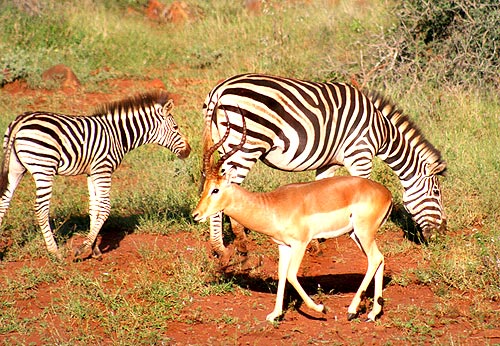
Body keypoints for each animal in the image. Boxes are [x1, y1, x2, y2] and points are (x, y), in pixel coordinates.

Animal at [0, 90, 191, 260]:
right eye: (176, 127)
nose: (188, 151)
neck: (118, 135)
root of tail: (21, 120)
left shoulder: (92, 173)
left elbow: (94, 208)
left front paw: (94, 249)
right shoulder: (103, 169)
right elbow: (105, 207)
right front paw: (83, 247)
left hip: (16, 168)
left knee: (4, 201)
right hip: (44, 167)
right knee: (41, 208)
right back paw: (55, 252)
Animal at [201, 73, 448, 262]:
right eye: (437, 193)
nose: (442, 233)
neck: (382, 132)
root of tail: (219, 90)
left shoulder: (328, 163)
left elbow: (320, 195)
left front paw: (316, 242)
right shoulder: (360, 156)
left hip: (222, 145)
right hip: (246, 145)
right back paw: (226, 248)